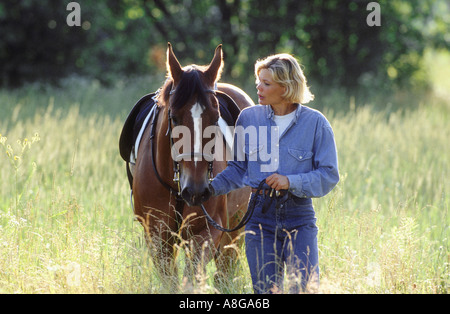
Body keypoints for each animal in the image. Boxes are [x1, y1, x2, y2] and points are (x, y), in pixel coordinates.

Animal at [130, 42, 253, 284]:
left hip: (235, 228)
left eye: (215, 119)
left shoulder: (207, 232)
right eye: (174, 117)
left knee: (224, 270)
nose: (196, 190)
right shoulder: (157, 236)